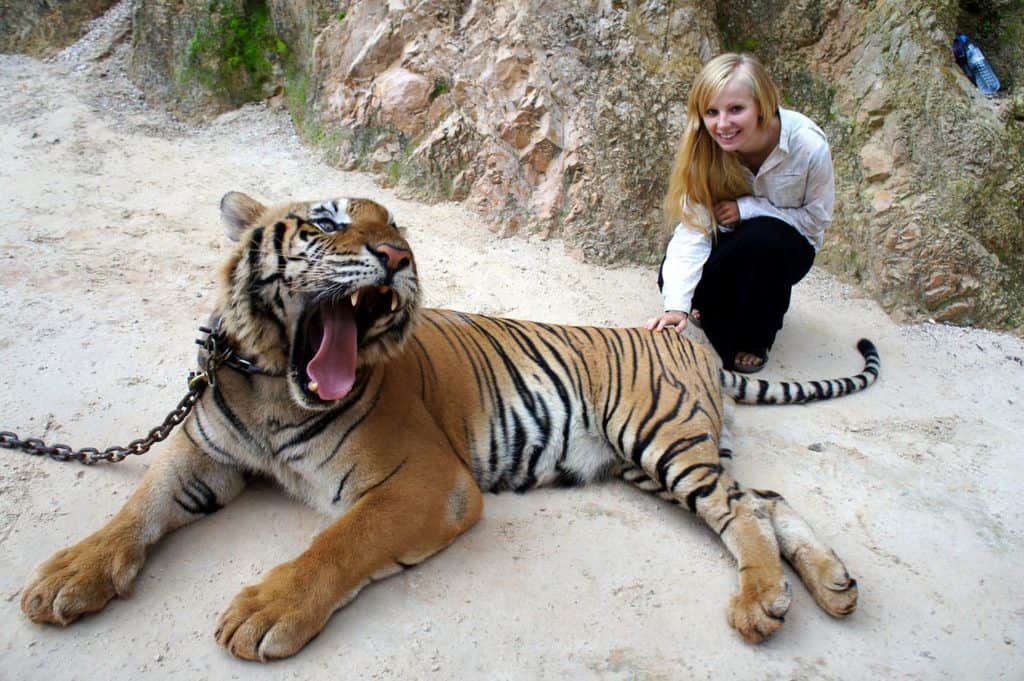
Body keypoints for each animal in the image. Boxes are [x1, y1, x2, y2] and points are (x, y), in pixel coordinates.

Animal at [19, 191, 876, 659]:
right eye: (326, 221)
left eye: (397, 226)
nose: (397, 256)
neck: (272, 386)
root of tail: (688, 335)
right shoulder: (201, 453)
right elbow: (135, 509)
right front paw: (65, 575)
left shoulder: (428, 481)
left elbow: (340, 540)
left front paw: (266, 610)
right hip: (655, 459)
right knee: (762, 499)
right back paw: (832, 586)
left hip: (662, 439)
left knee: (740, 510)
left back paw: (762, 600)